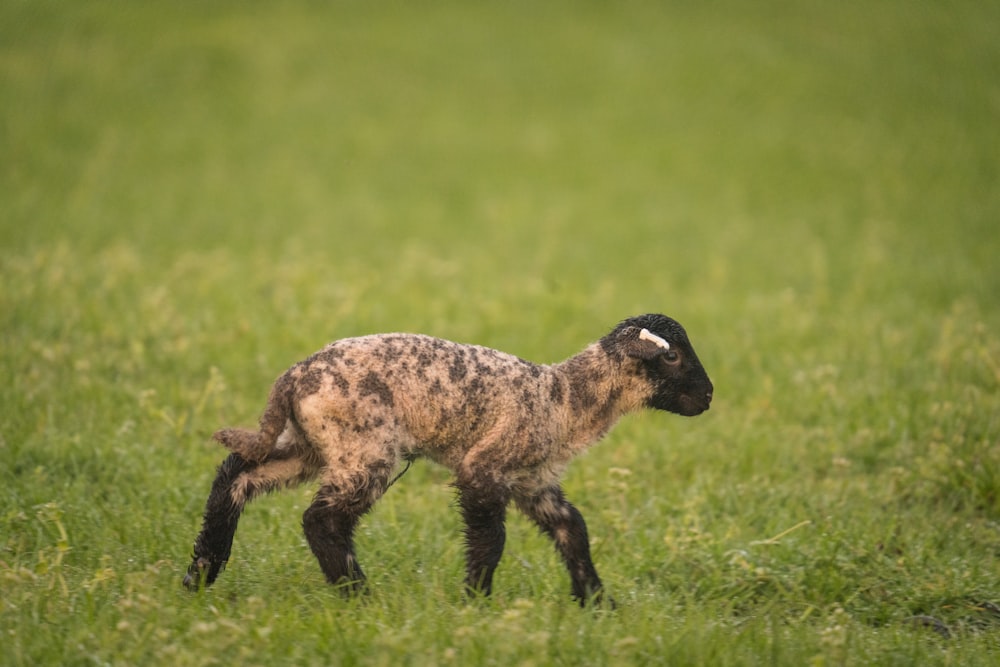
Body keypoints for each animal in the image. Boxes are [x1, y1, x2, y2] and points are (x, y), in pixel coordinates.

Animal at [180, 314, 712, 604]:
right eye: (671, 357)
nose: (708, 396)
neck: (564, 397)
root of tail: (292, 377)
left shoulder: (531, 480)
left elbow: (573, 531)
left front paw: (597, 603)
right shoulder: (484, 468)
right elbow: (491, 541)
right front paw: (476, 600)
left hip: (312, 444)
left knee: (235, 476)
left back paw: (200, 573)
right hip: (363, 446)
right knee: (321, 520)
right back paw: (358, 594)